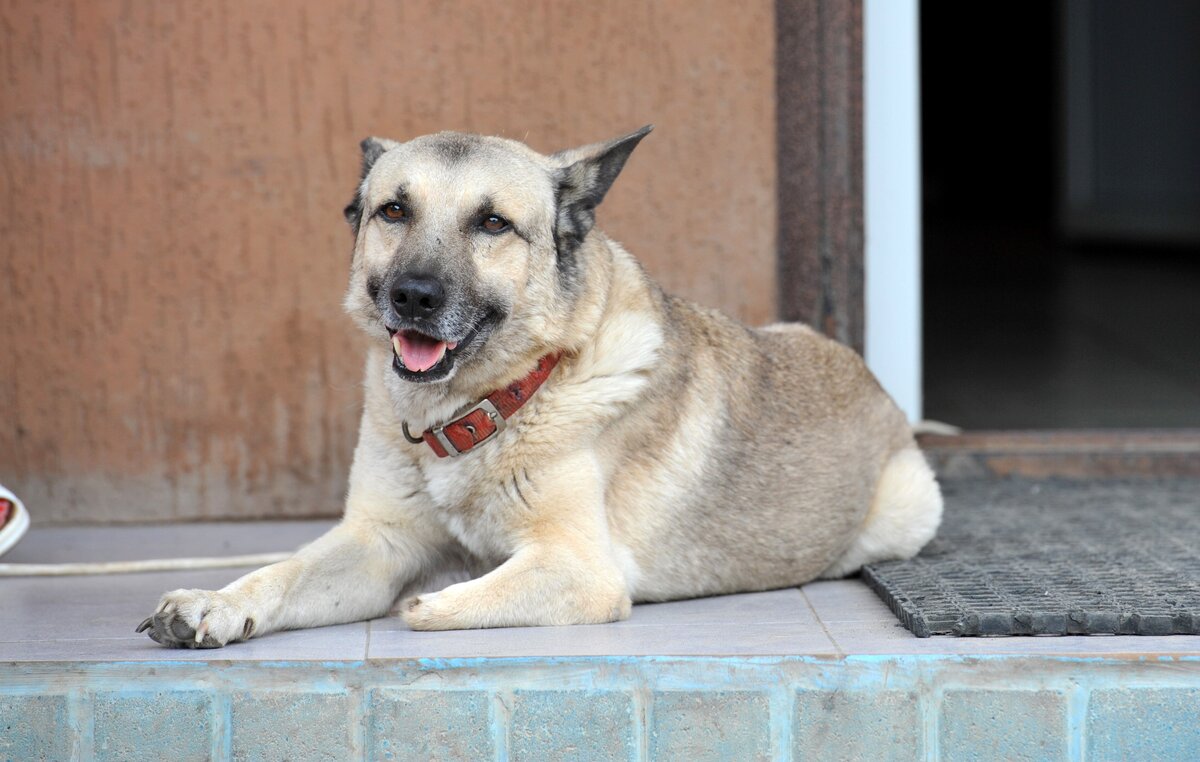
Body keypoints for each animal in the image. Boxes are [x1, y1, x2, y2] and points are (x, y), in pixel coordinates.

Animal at [140, 126, 940, 648]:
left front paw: (437, 596)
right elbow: (282, 571)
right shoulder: (375, 542)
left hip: (910, 508)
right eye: (393, 210)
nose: (414, 297)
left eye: (493, 223)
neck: (476, 410)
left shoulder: (580, 568)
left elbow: (435, 603)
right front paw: (215, 602)